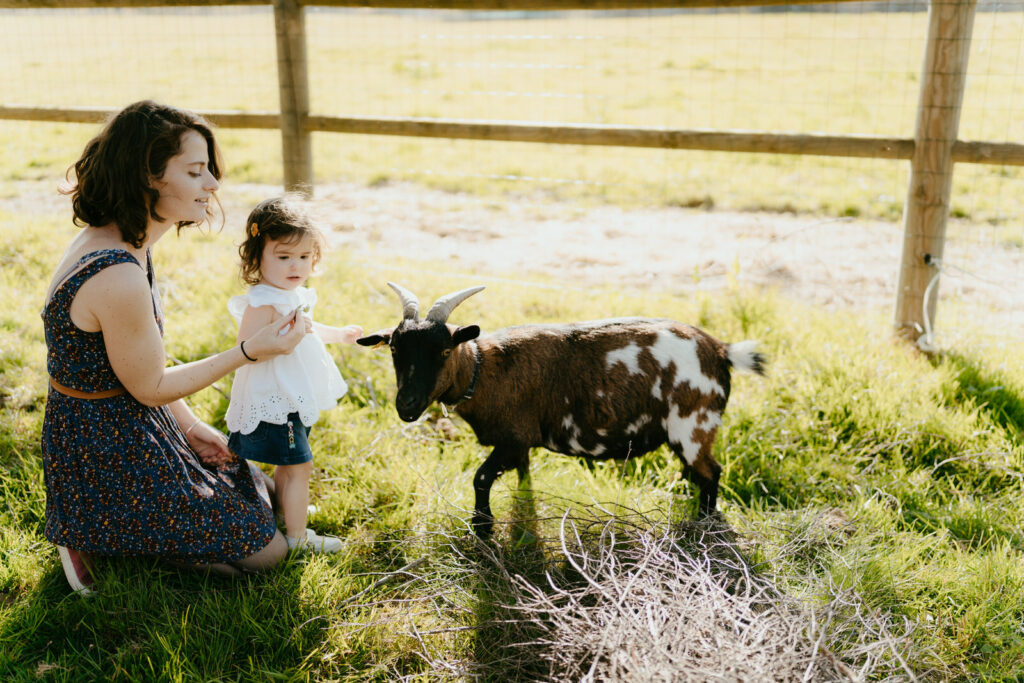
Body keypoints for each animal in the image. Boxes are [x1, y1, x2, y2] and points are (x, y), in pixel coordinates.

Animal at [356, 280, 765, 536]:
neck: (485, 370)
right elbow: (523, 481)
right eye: (394, 349)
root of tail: (720, 350)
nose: (406, 405)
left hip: (693, 425)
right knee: (698, 475)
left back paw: (703, 527)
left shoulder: (513, 438)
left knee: (710, 474)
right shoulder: (520, 443)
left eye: (443, 351)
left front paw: (483, 528)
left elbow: (480, 478)